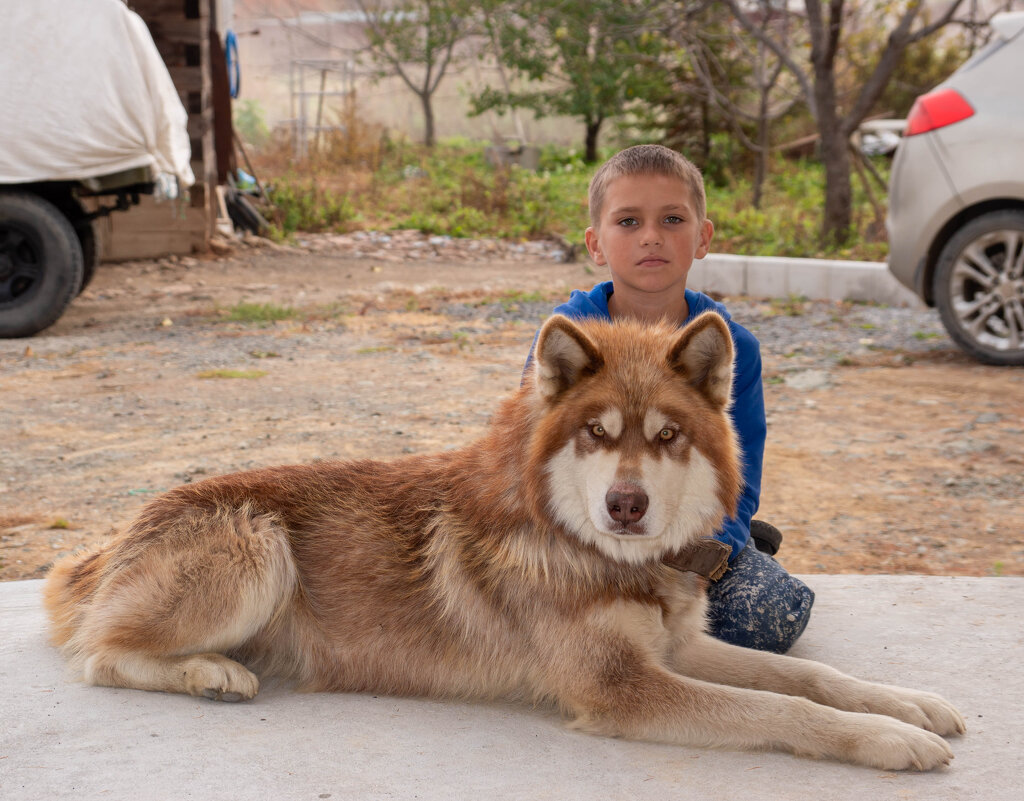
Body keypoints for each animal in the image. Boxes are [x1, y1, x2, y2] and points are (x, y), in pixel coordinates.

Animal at [44, 313, 962, 770]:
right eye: (596, 432)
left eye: (667, 435)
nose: (625, 504)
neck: (592, 550)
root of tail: (123, 527)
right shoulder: (622, 689)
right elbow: (783, 707)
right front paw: (892, 741)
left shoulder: (675, 650)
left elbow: (811, 675)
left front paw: (908, 705)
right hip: (260, 547)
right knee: (97, 656)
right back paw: (212, 673)